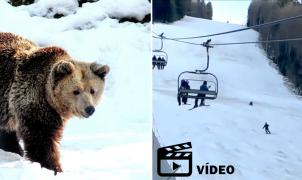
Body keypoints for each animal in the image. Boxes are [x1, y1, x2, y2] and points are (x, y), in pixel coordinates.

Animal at [0, 32, 109, 174]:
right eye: (76, 91)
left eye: (92, 91)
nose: (89, 109)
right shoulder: (34, 102)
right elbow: (42, 138)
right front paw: (54, 167)